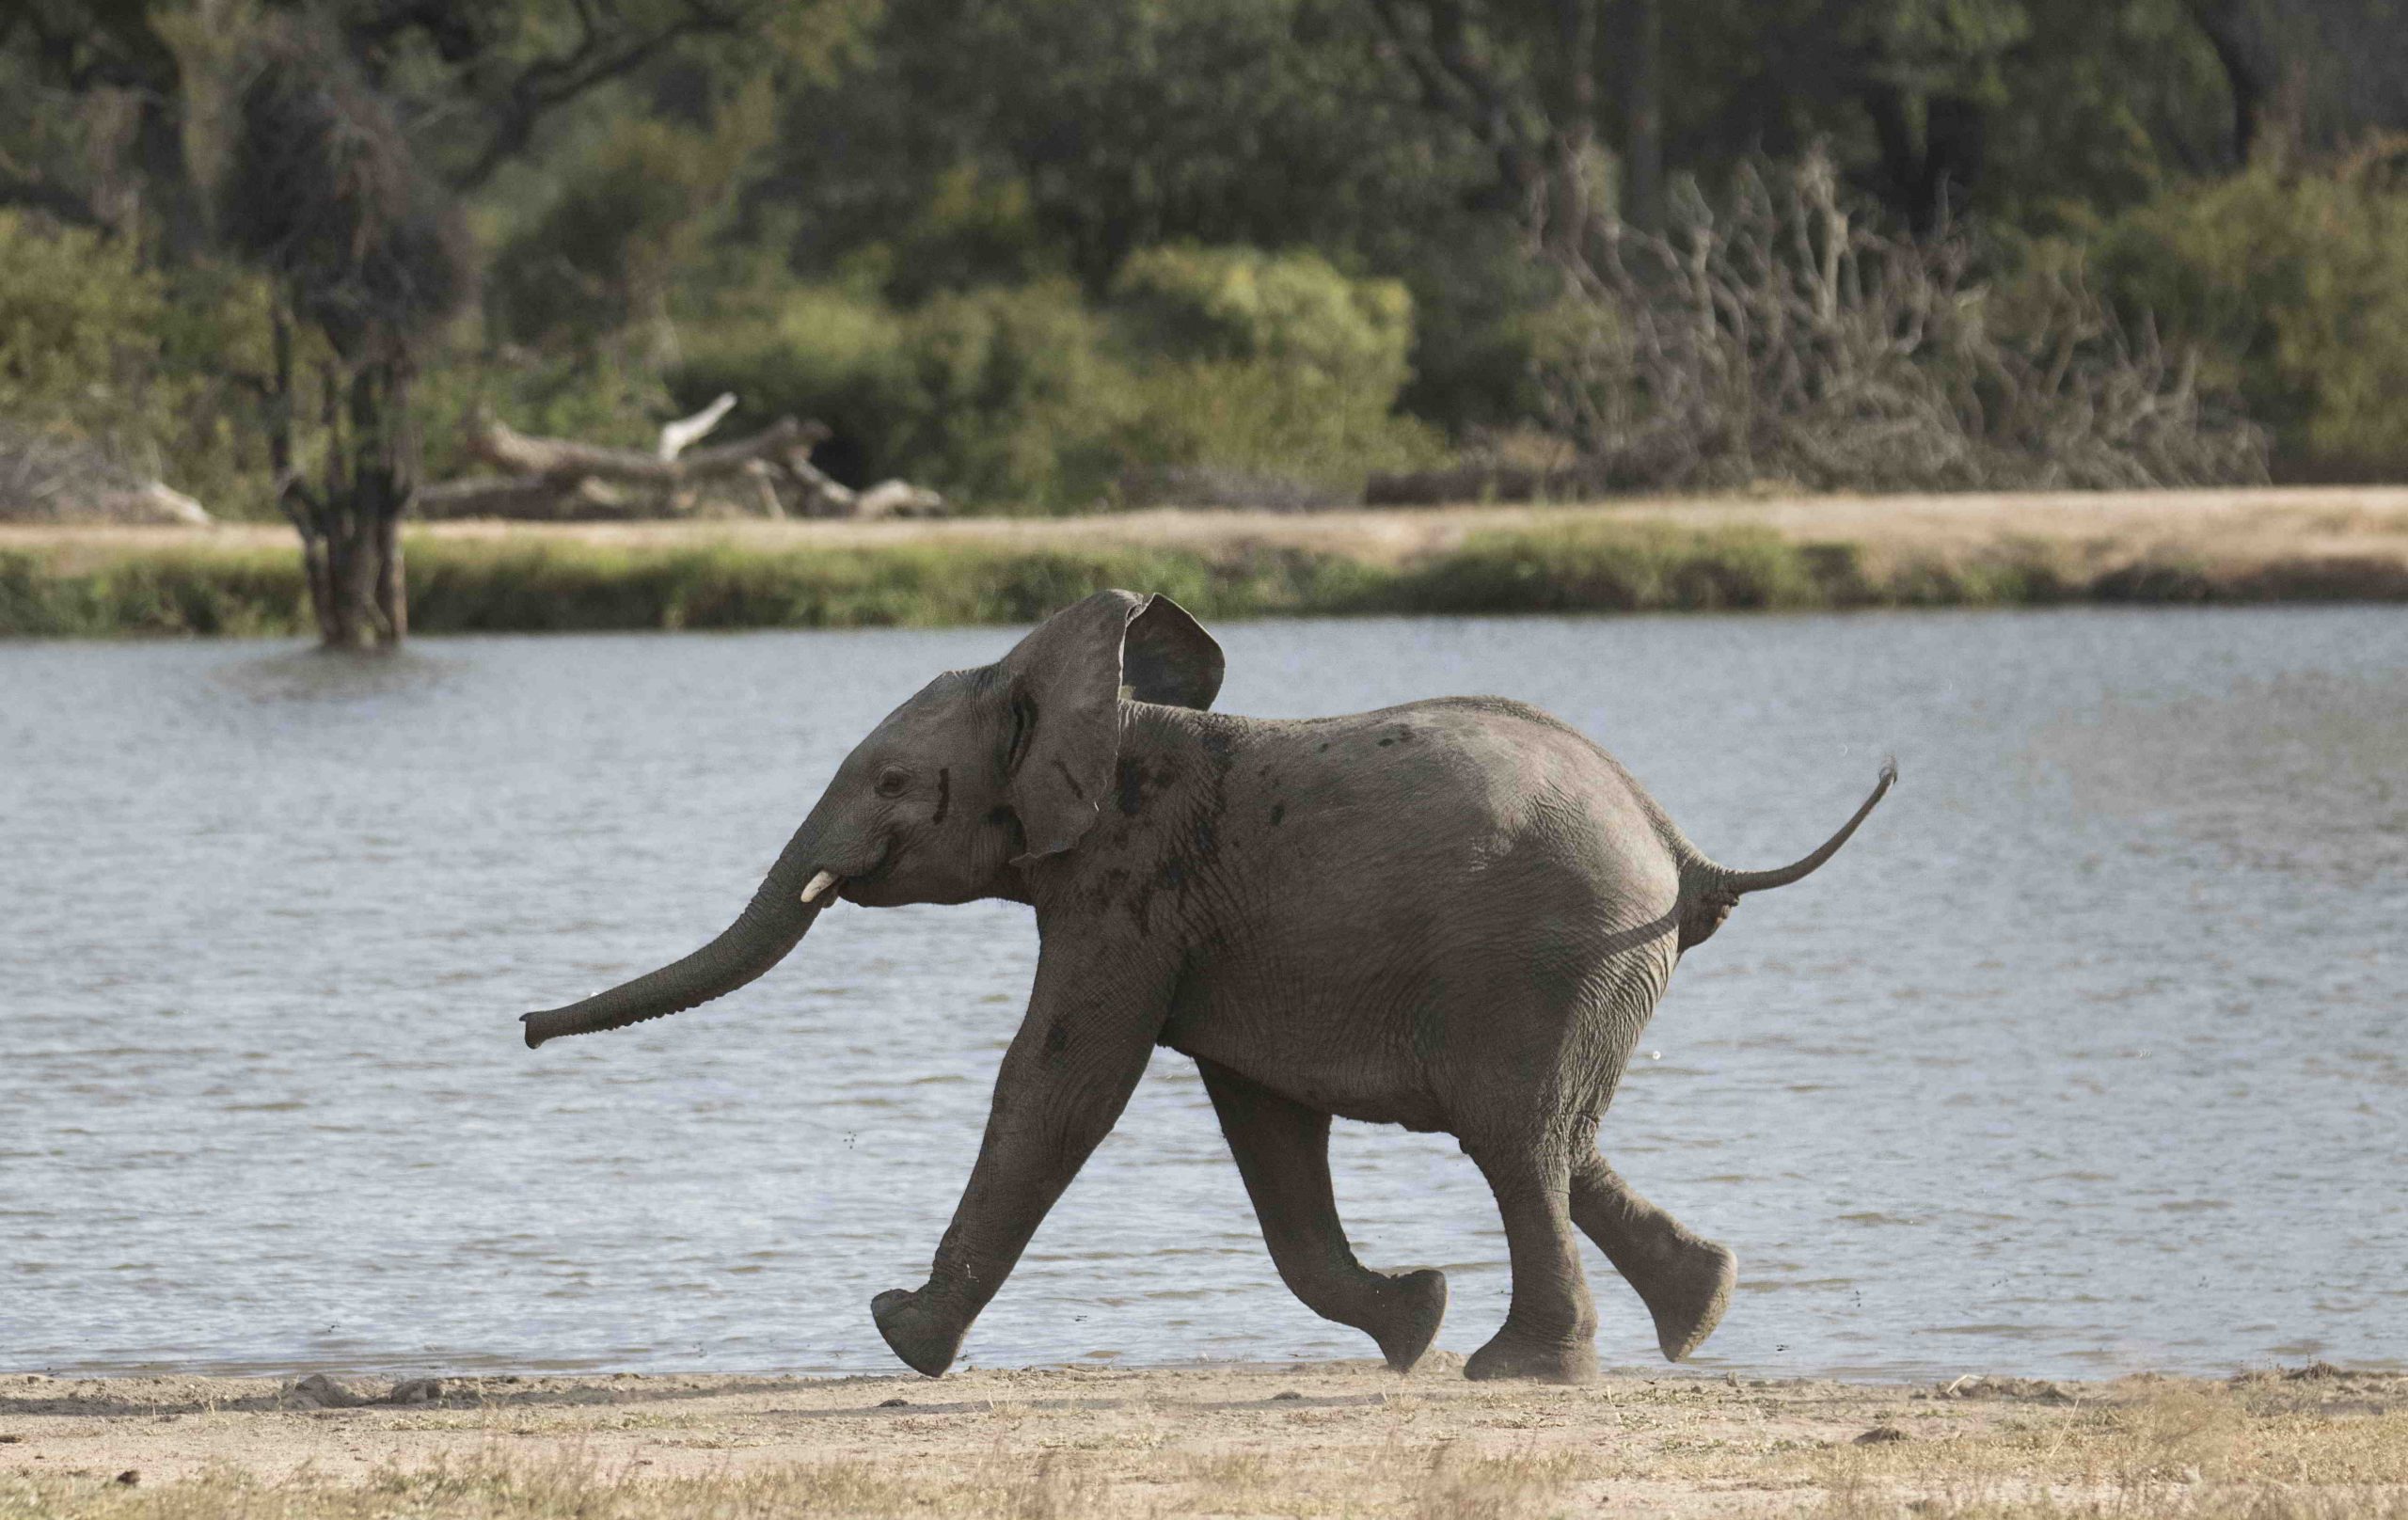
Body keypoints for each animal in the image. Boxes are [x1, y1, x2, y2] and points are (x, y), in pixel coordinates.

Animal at [517, 593, 1888, 1377]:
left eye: (895, 784)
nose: (523, 1025)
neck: (1100, 708)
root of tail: (1681, 849)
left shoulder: (1129, 887)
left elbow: (1061, 1082)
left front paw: (898, 1331)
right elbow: (1263, 1122)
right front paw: (1409, 1321)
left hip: (1553, 948)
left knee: (1512, 1138)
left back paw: (1522, 1371)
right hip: (1583, 969)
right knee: (1552, 1137)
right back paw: (1687, 1318)